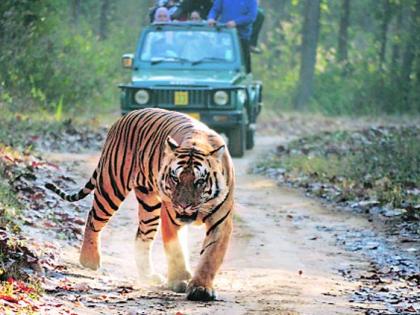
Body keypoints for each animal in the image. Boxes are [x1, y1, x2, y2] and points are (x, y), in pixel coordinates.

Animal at [46, 109, 236, 304]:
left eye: (199, 181)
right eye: (175, 178)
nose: (183, 205)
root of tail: (123, 117)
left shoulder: (220, 221)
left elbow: (211, 256)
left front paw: (200, 289)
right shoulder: (170, 215)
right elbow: (175, 250)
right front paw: (179, 280)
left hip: (149, 205)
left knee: (142, 237)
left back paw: (148, 275)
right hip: (111, 186)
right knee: (93, 217)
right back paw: (89, 260)